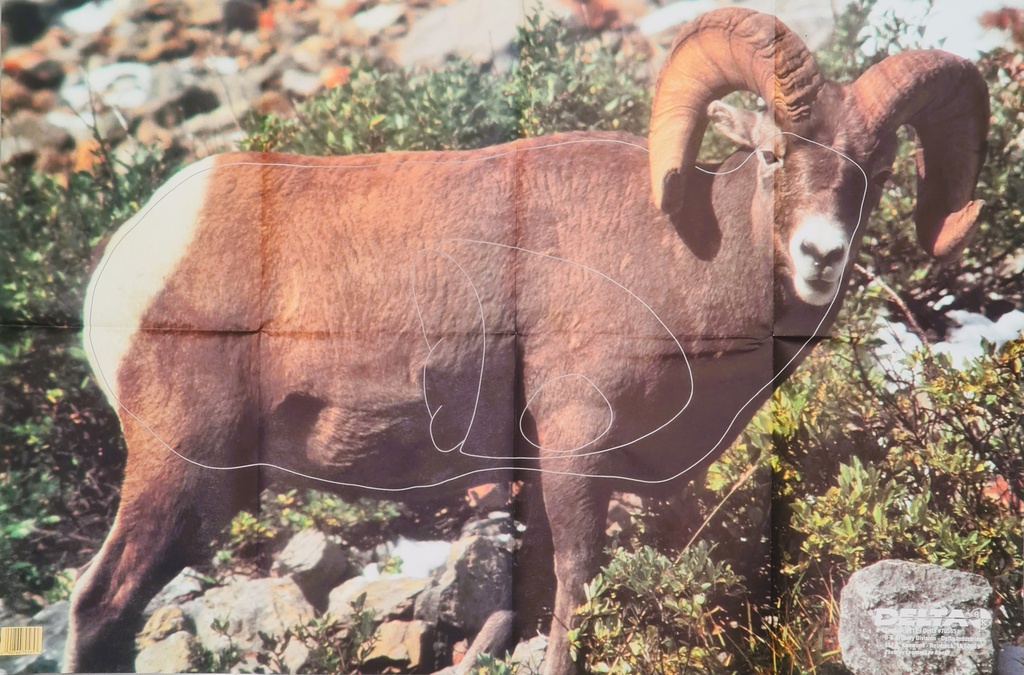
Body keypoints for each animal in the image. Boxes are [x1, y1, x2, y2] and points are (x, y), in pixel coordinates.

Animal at [65, 7, 989, 674]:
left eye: (875, 168)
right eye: (769, 155)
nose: (820, 256)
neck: (682, 256)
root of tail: (136, 252)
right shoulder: (576, 443)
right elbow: (577, 579)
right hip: (180, 469)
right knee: (101, 603)